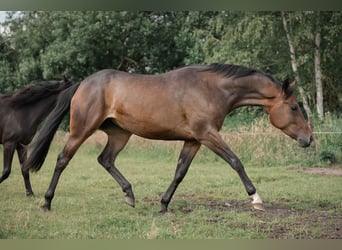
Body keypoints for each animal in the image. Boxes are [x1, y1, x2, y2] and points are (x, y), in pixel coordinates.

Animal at [24, 63, 314, 212]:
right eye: (294, 107)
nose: (309, 139)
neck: (210, 89)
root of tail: (83, 83)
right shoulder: (208, 135)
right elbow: (235, 161)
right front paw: (256, 199)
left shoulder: (194, 140)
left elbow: (180, 172)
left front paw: (163, 205)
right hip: (81, 130)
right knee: (62, 159)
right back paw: (46, 202)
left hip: (120, 134)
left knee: (105, 160)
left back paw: (130, 196)